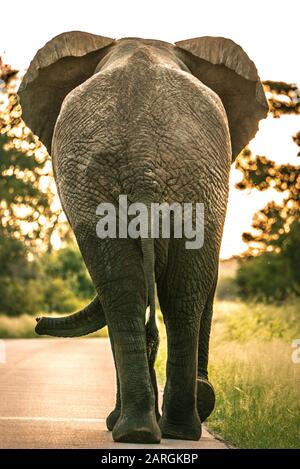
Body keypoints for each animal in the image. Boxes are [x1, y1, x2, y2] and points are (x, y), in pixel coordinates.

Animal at [18, 33, 268, 442]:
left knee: (139, 291)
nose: (38, 321)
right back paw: (157, 430)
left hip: (182, 180)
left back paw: (151, 429)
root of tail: (144, 162)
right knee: (159, 292)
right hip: (161, 181)